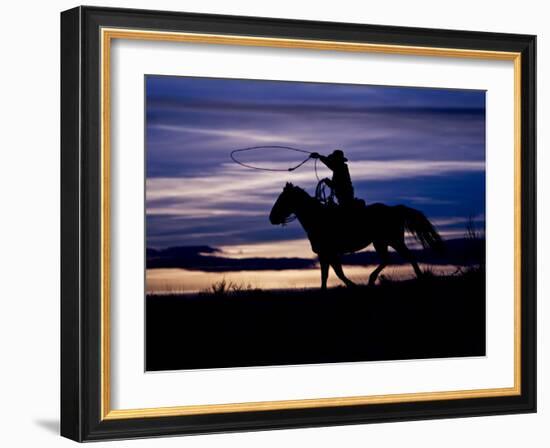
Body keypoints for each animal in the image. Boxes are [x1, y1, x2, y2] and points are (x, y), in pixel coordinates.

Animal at [270, 183, 446, 290]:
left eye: (282, 199)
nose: (272, 218)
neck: (318, 218)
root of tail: (394, 209)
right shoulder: (326, 254)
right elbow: (328, 274)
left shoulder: (329, 253)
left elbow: (335, 273)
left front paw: (352, 285)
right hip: (381, 242)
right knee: (389, 259)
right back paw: (373, 279)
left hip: (393, 240)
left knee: (407, 257)